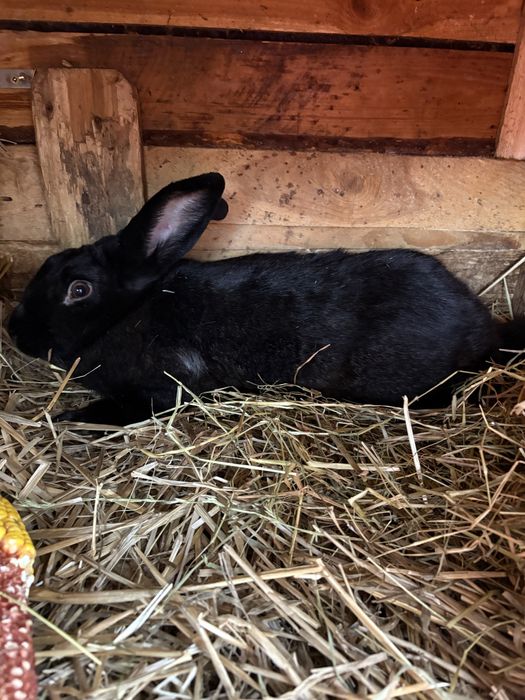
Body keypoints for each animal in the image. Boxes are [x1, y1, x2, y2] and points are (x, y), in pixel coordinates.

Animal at [8, 172, 525, 425]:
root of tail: (483, 328)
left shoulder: (166, 387)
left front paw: (69, 417)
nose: (13, 331)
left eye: (79, 290)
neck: (127, 314)